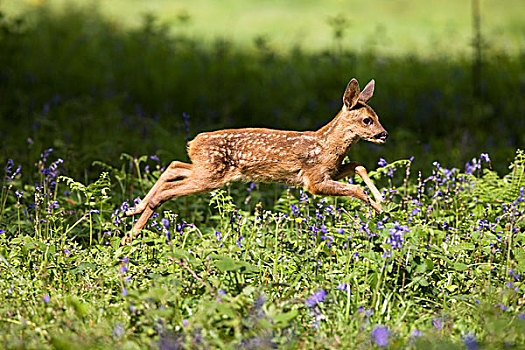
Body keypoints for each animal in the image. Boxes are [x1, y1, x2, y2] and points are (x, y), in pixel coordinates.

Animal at [122, 78, 384, 243]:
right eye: (367, 120)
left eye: (377, 116)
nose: (384, 134)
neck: (327, 145)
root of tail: (193, 143)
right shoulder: (314, 180)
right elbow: (356, 188)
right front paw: (378, 209)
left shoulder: (329, 172)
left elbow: (358, 165)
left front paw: (380, 200)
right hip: (211, 176)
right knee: (168, 190)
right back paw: (129, 235)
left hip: (206, 169)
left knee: (174, 166)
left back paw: (132, 210)